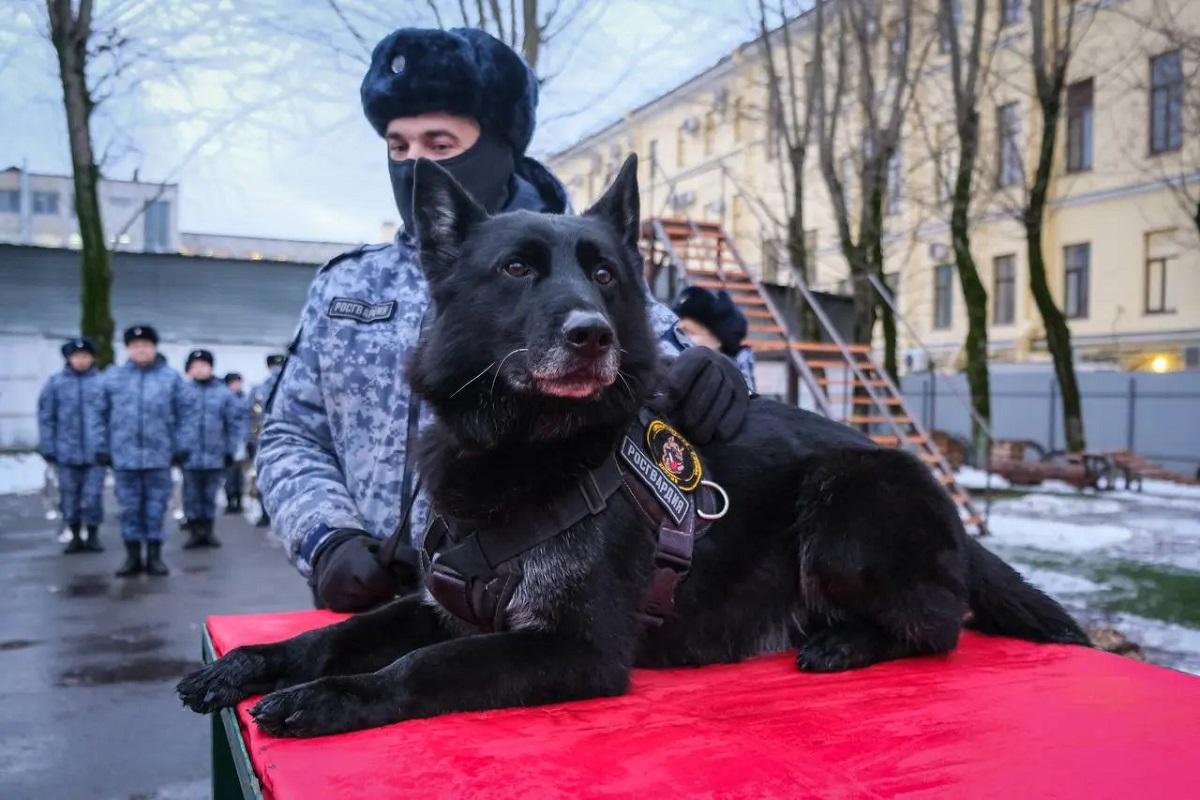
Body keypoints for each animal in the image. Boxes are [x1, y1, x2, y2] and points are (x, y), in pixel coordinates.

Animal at [177, 153, 1089, 734]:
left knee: (937, 625)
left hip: (844, 496)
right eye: (517, 270)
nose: (592, 335)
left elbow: (418, 670)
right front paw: (251, 664)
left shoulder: (573, 648)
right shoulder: (440, 607)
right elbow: (327, 637)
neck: (527, 450)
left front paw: (331, 700)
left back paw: (843, 641)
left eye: (606, 274)